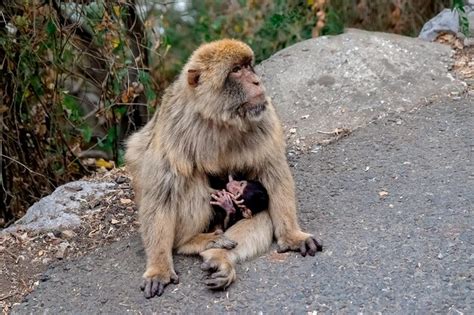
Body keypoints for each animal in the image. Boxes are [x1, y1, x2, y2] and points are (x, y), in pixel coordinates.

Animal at [126, 39, 322, 298]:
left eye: (248, 66)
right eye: (236, 70)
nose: (256, 81)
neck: (219, 119)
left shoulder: (263, 116)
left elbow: (273, 172)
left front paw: (291, 236)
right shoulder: (174, 126)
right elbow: (161, 194)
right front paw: (159, 266)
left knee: (262, 212)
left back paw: (218, 258)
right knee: (190, 182)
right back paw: (191, 242)